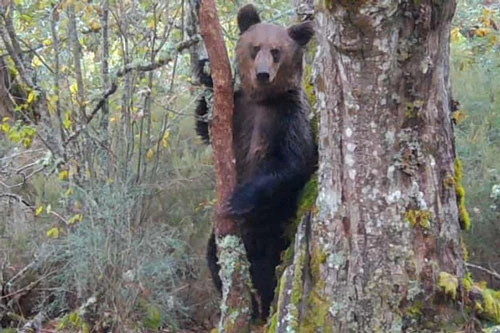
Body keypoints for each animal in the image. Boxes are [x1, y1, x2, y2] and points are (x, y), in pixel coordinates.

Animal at [195, 3, 316, 320]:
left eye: (276, 51)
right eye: (255, 47)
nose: (262, 74)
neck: (263, 100)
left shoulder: (288, 118)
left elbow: (291, 164)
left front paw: (238, 198)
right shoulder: (238, 111)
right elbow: (204, 127)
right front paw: (206, 72)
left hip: (274, 225)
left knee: (267, 268)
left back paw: (261, 309)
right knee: (213, 256)